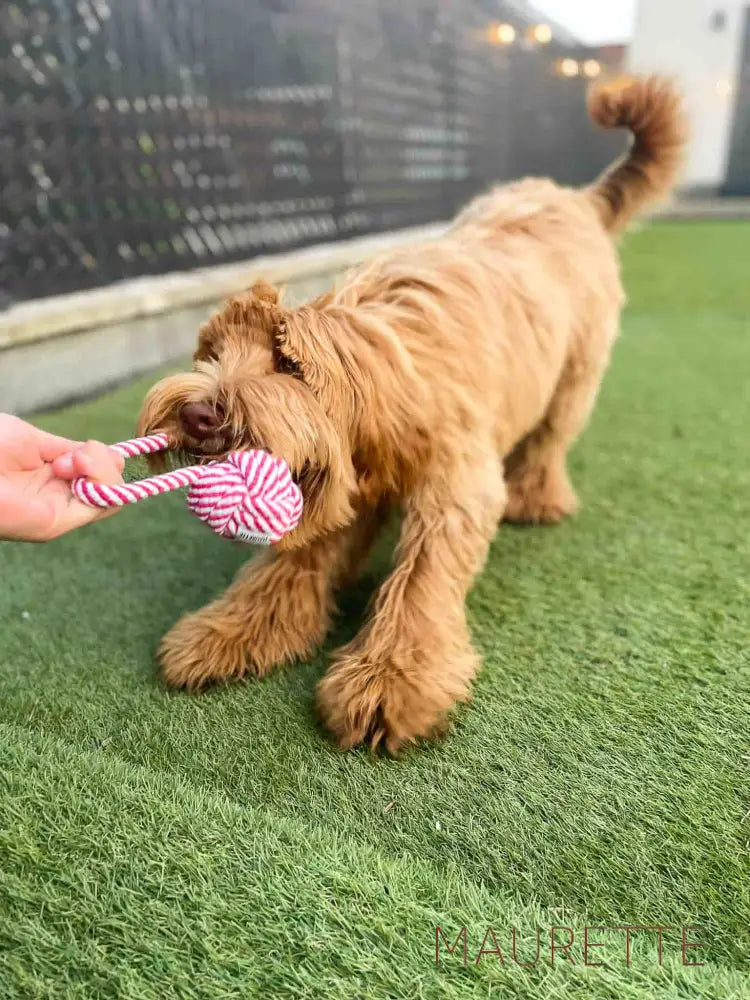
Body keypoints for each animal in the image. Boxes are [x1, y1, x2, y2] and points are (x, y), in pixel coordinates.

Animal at [140, 76, 688, 752]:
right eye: (212, 354)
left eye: (287, 364)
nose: (195, 414)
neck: (384, 371)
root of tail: (575, 199)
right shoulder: (337, 483)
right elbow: (289, 563)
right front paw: (232, 630)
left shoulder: (453, 486)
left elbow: (423, 578)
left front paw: (389, 678)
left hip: (575, 379)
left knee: (549, 440)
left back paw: (537, 498)